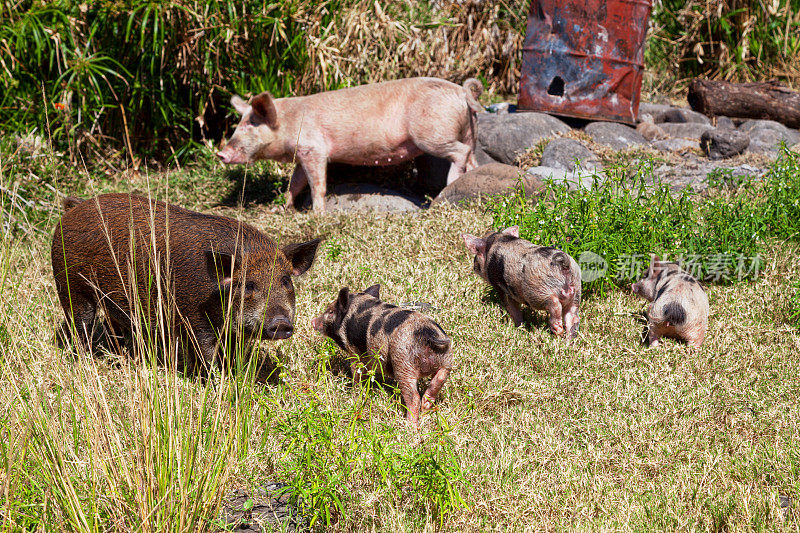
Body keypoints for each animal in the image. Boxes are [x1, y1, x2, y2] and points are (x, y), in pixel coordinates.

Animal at [49, 194, 318, 366]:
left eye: (285, 280)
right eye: (248, 284)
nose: (281, 323)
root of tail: (72, 209)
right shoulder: (192, 318)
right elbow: (206, 355)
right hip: (69, 287)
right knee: (81, 326)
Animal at [216, 77, 484, 212]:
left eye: (251, 124)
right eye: (240, 123)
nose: (221, 154)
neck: (289, 122)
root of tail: (462, 91)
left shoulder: (314, 149)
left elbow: (316, 185)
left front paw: (317, 215)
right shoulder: (302, 155)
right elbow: (295, 183)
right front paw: (281, 209)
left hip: (431, 135)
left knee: (460, 153)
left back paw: (449, 185)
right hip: (470, 131)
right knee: (473, 158)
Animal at [310, 284, 454, 426]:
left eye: (330, 311)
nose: (313, 321)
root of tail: (428, 334)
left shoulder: (354, 352)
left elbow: (356, 373)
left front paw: (354, 392)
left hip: (403, 362)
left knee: (413, 397)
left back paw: (410, 426)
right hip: (446, 361)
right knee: (438, 381)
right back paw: (425, 410)